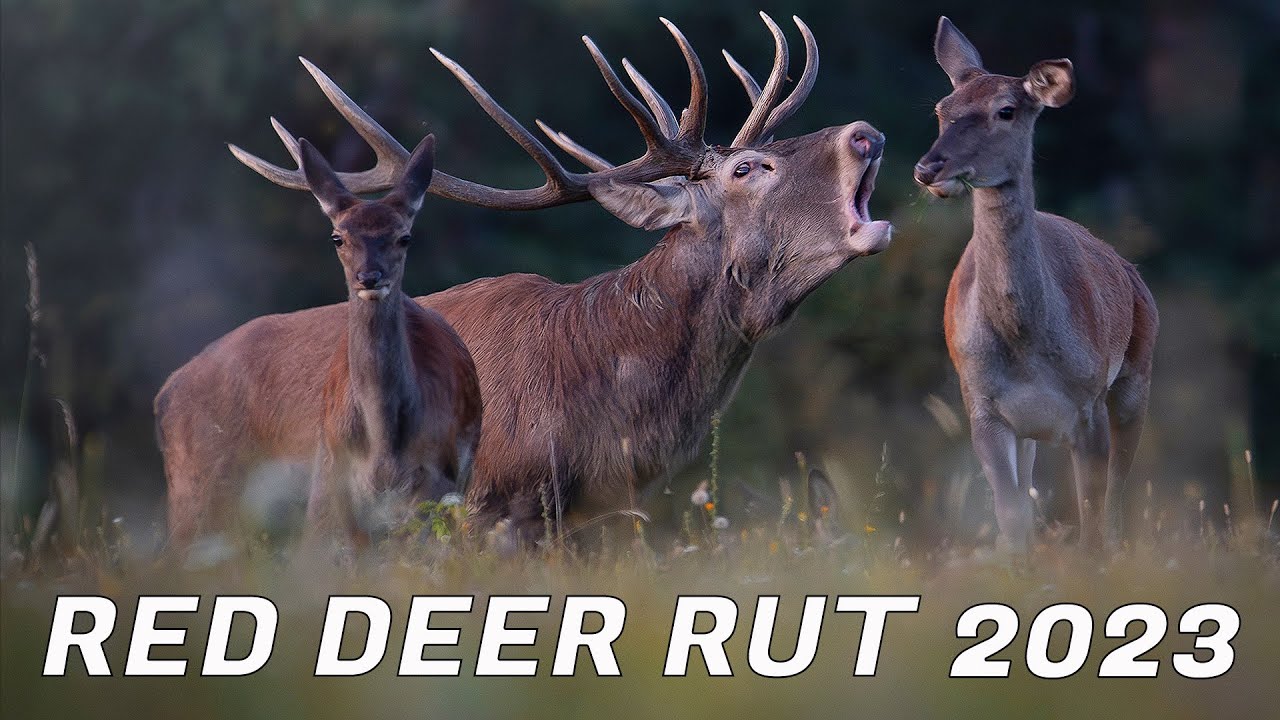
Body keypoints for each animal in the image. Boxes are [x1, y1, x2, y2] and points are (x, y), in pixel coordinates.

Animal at [156, 133, 482, 548]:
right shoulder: (336, 482)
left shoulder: (440, 479)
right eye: (338, 237)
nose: (369, 277)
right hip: (198, 489)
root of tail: (164, 395)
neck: (385, 449)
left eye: (404, 237)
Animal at [913, 17, 1158, 552]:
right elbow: (1012, 518)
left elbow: (1092, 516)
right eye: (942, 109)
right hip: (1031, 430)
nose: (928, 169)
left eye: (1005, 110)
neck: (1025, 341)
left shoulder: (1088, 403)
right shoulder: (982, 406)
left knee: (1117, 497)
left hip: (1136, 376)